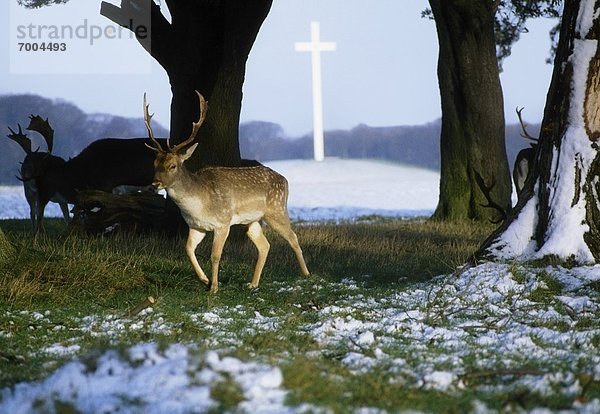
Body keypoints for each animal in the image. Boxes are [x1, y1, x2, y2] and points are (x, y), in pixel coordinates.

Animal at [144, 92, 312, 292]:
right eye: (154, 164)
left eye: (172, 165)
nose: (155, 184)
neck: (199, 204)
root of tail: (285, 180)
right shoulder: (196, 226)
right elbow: (188, 249)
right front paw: (205, 280)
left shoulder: (223, 223)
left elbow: (215, 255)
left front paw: (214, 287)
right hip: (251, 221)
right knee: (264, 245)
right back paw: (253, 283)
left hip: (277, 209)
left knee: (293, 237)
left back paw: (306, 274)